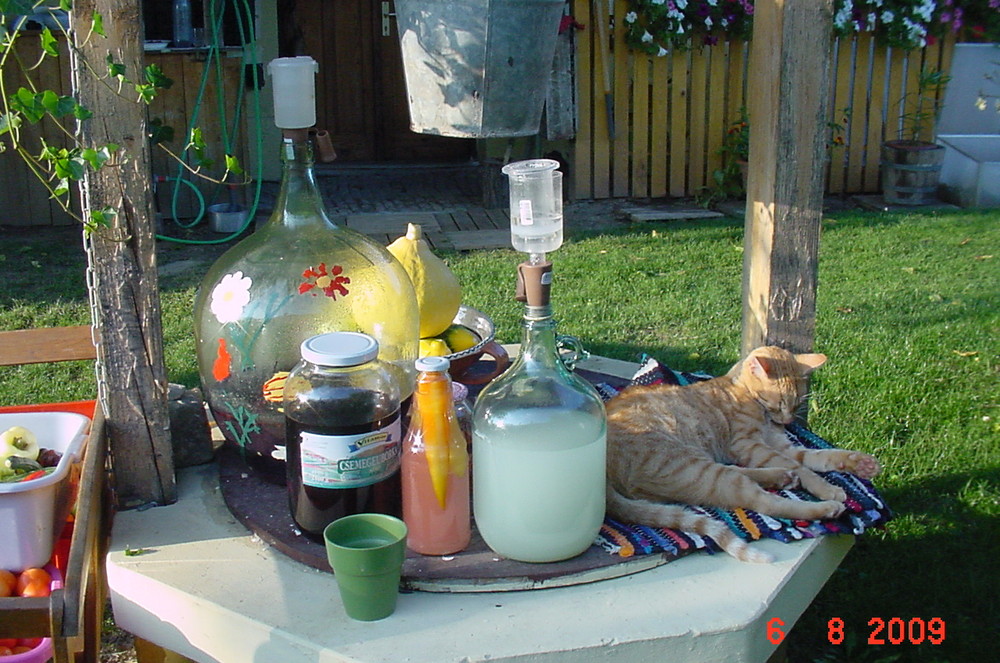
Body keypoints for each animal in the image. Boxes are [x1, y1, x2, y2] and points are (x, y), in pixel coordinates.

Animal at [604, 344, 880, 564]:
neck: (742, 391)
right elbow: (804, 468)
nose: (788, 420)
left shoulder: (781, 445)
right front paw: (828, 489)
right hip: (695, 467)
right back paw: (826, 507)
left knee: (744, 473)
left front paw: (860, 464)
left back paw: (782, 477)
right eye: (780, 402)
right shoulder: (749, 445)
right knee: (764, 501)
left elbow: (820, 456)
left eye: (797, 403)